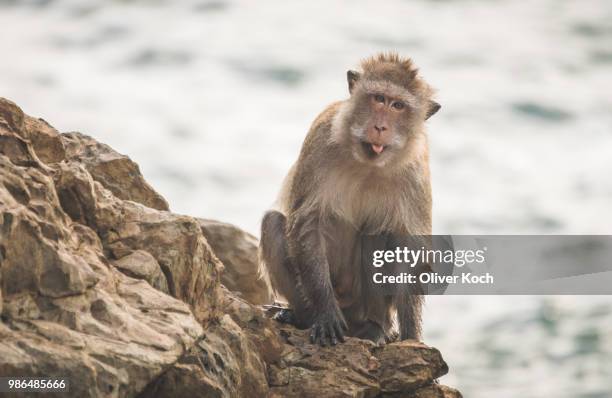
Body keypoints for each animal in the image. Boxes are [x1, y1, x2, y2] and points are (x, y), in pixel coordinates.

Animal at [258, 52, 440, 346]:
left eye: (398, 105)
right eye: (378, 98)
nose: (380, 126)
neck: (368, 163)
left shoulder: (416, 170)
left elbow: (410, 245)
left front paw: (411, 334)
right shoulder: (320, 140)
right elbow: (307, 223)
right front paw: (325, 315)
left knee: (378, 233)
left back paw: (376, 328)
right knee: (273, 223)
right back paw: (302, 316)